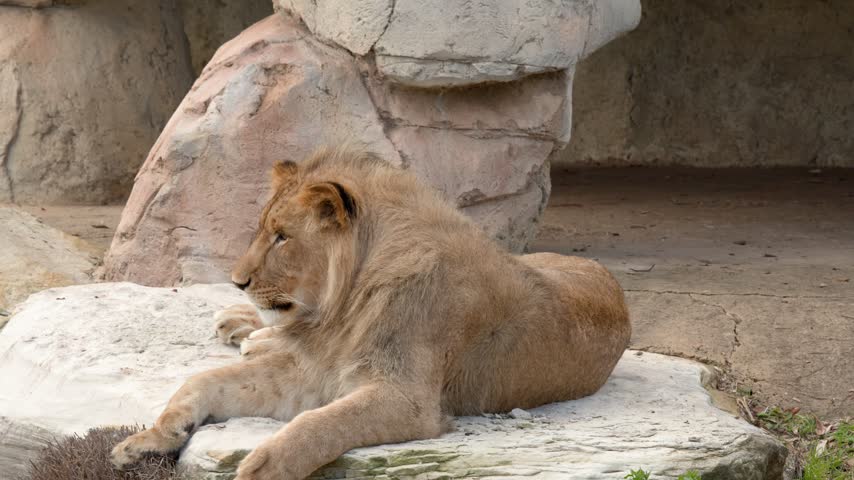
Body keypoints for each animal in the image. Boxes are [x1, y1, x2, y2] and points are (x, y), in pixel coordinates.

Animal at [111, 147, 631, 480]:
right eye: (264, 231)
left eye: (282, 237)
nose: (237, 280)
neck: (340, 308)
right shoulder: (313, 369)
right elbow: (204, 381)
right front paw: (150, 439)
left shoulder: (407, 399)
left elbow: (317, 424)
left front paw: (261, 467)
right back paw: (241, 325)